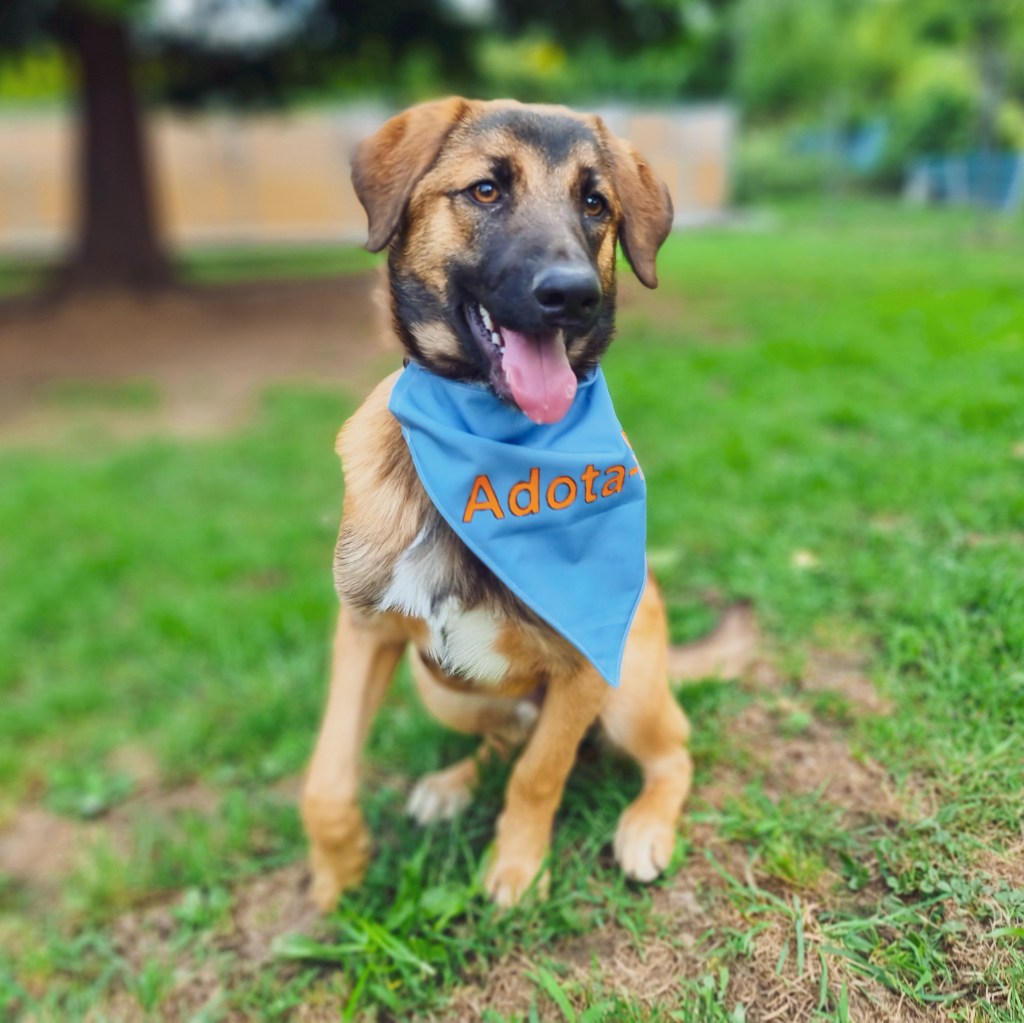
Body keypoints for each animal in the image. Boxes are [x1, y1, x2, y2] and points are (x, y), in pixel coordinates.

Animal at [302, 97, 696, 910]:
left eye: (595, 203)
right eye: (486, 190)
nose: (571, 294)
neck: (489, 437)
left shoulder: (587, 666)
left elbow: (540, 774)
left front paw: (516, 868)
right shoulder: (364, 631)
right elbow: (324, 778)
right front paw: (339, 871)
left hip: (629, 691)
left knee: (672, 751)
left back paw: (645, 825)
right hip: (441, 685)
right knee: (504, 735)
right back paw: (453, 783)